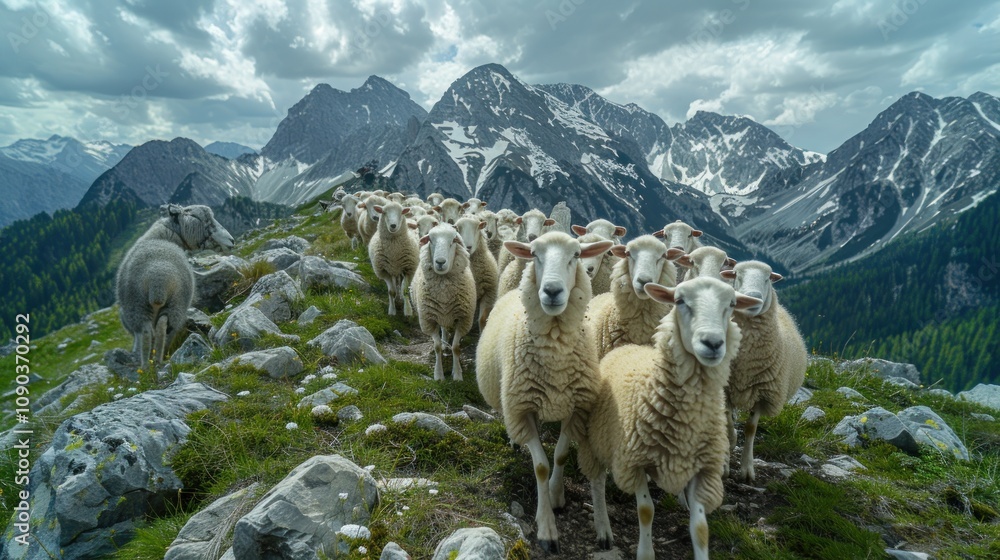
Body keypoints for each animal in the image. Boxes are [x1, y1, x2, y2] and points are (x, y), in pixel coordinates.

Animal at [117, 204, 235, 368]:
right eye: (197, 217)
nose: (232, 240)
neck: (164, 237)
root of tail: (157, 281)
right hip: (169, 305)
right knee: (159, 330)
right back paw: (156, 362)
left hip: (141, 307)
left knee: (150, 332)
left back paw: (149, 364)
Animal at [412, 224, 477, 380]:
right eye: (430, 240)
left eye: (453, 240)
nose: (440, 262)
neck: (444, 294)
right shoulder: (429, 320)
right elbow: (436, 347)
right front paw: (439, 375)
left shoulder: (463, 319)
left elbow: (456, 347)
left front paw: (457, 374)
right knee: (444, 331)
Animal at [476, 232, 614, 553]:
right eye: (535, 254)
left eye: (576, 255)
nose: (551, 290)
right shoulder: (522, 407)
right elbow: (539, 465)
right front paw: (547, 528)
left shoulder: (576, 407)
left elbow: (561, 455)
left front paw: (556, 495)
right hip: (512, 401)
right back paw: (515, 442)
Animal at [578, 278, 761, 560]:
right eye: (679, 301)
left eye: (731, 304)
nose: (712, 342)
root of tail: (626, 347)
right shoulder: (636, 461)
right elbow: (646, 511)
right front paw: (645, 552)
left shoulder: (704, 470)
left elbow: (700, 528)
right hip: (595, 438)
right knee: (597, 481)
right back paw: (603, 530)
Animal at [720, 261, 807, 482]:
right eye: (736, 274)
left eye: (768, 278)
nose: (753, 298)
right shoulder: (725, 388)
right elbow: (727, 423)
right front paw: (725, 461)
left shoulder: (763, 393)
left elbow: (750, 429)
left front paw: (747, 469)